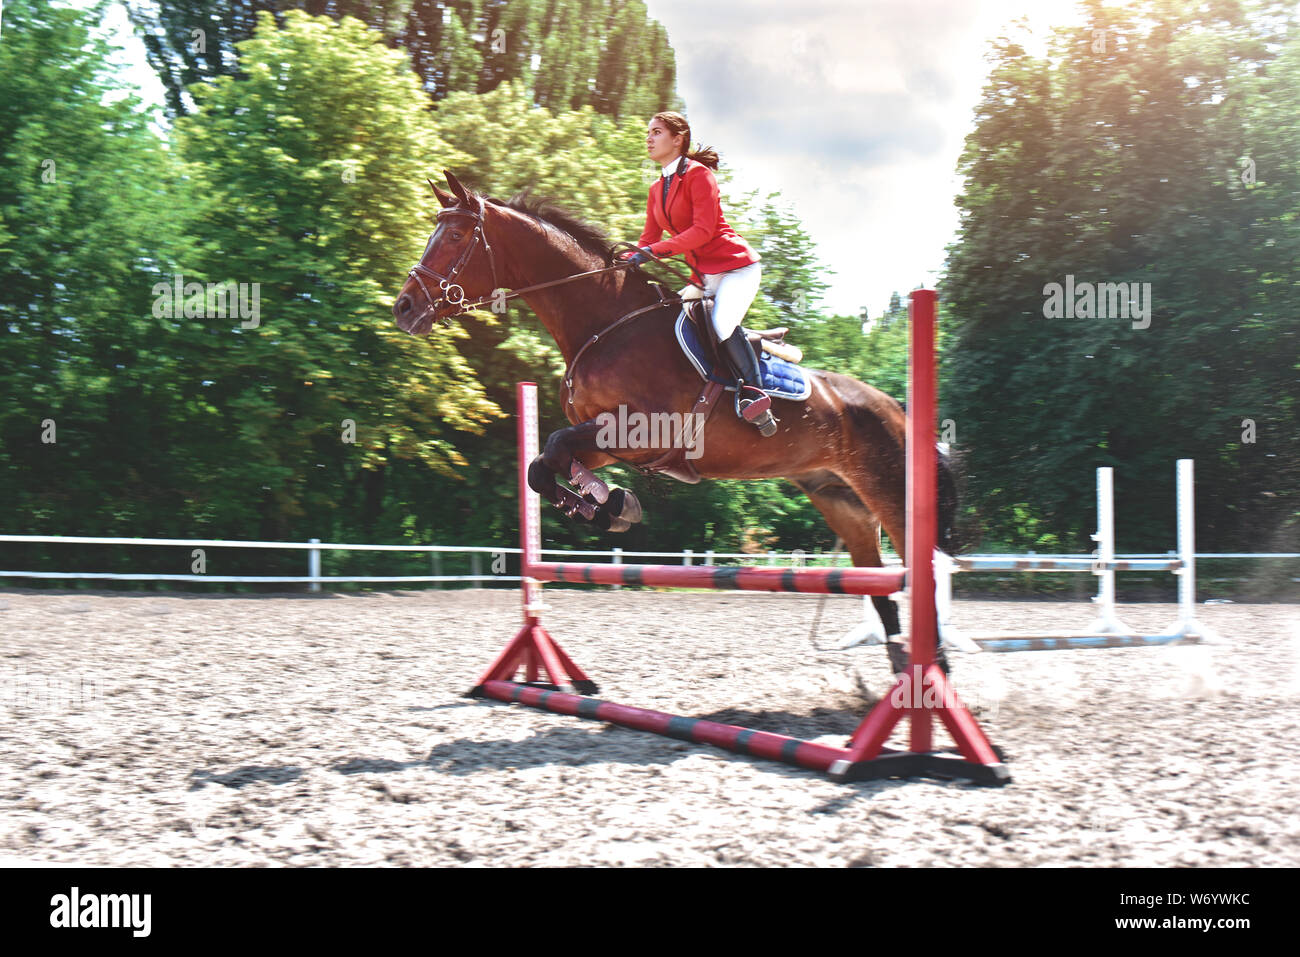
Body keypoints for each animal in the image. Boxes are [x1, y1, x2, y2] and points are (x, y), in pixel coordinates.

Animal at [387, 171, 956, 665]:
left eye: (455, 235)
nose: (404, 308)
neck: (603, 323)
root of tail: (896, 408)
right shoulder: (605, 438)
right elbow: (542, 465)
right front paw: (611, 505)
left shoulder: (638, 431)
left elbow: (553, 449)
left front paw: (610, 505)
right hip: (841, 500)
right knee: (881, 589)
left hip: (889, 491)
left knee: (919, 569)